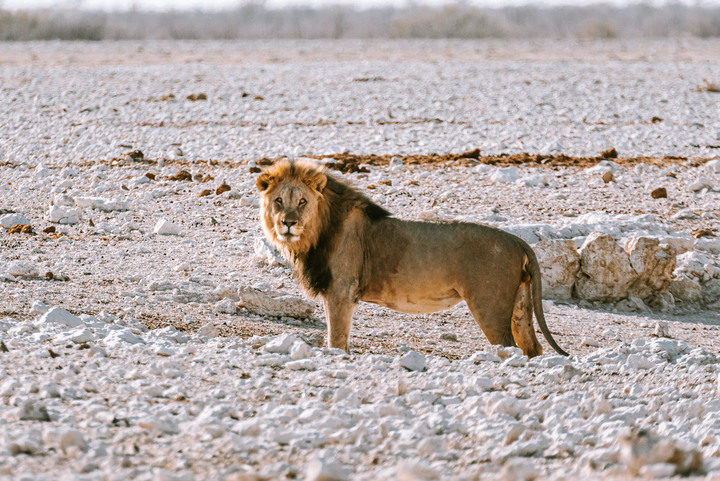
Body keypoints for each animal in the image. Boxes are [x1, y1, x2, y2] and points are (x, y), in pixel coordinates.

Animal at [258, 158, 568, 356]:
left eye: (302, 201)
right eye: (279, 201)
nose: (288, 223)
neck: (315, 234)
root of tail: (517, 241)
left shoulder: (341, 293)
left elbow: (337, 340)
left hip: (489, 306)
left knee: (510, 346)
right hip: (519, 304)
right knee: (532, 347)